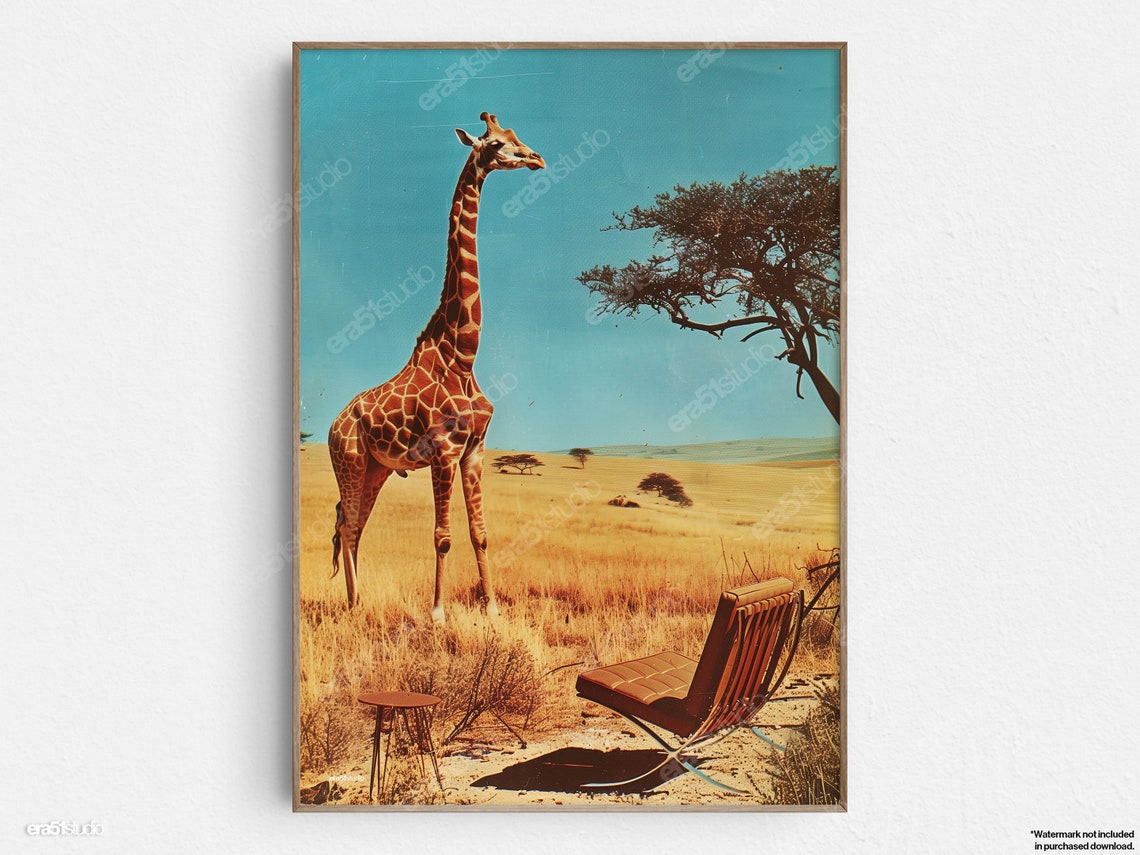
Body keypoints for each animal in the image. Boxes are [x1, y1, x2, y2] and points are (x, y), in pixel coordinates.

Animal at [327, 112, 545, 624]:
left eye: (515, 136)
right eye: (494, 143)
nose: (536, 158)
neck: (463, 354)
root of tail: (330, 426)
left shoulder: (475, 450)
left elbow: (480, 533)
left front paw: (492, 610)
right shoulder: (443, 452)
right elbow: (443, 538)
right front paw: (438, 615)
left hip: (376, 469)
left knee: (353, 525)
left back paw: (357, 602)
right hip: (349, 460)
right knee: (347, 527)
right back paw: (354, 608)